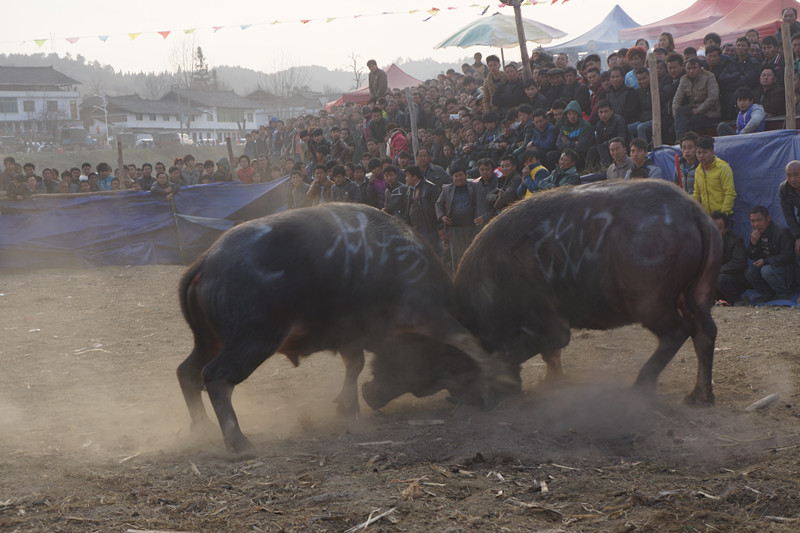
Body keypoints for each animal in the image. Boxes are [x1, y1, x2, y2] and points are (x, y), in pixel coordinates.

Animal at [178, 202, 506, 450]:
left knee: (187, 372)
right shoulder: (427, 315)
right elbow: (465, 338)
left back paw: (202, 427)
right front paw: (494, 376)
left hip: (209, 341)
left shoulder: (351, 337)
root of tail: (206, 261)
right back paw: (238, 441)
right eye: (432, 378)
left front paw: (347, 406)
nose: (373, 397)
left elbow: (355, 364)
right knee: (217, 377)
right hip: (252, 342)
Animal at [450, 179, 724, 404]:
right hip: (696, 295)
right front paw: (551, 382)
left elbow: (516, 352)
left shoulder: (549, 326)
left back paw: (640, 386)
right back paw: (700, 395)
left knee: (677, 333)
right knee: (705, 331)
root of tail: (694, 213)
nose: (455, 396)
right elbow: (549, 355)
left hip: (651, 303)